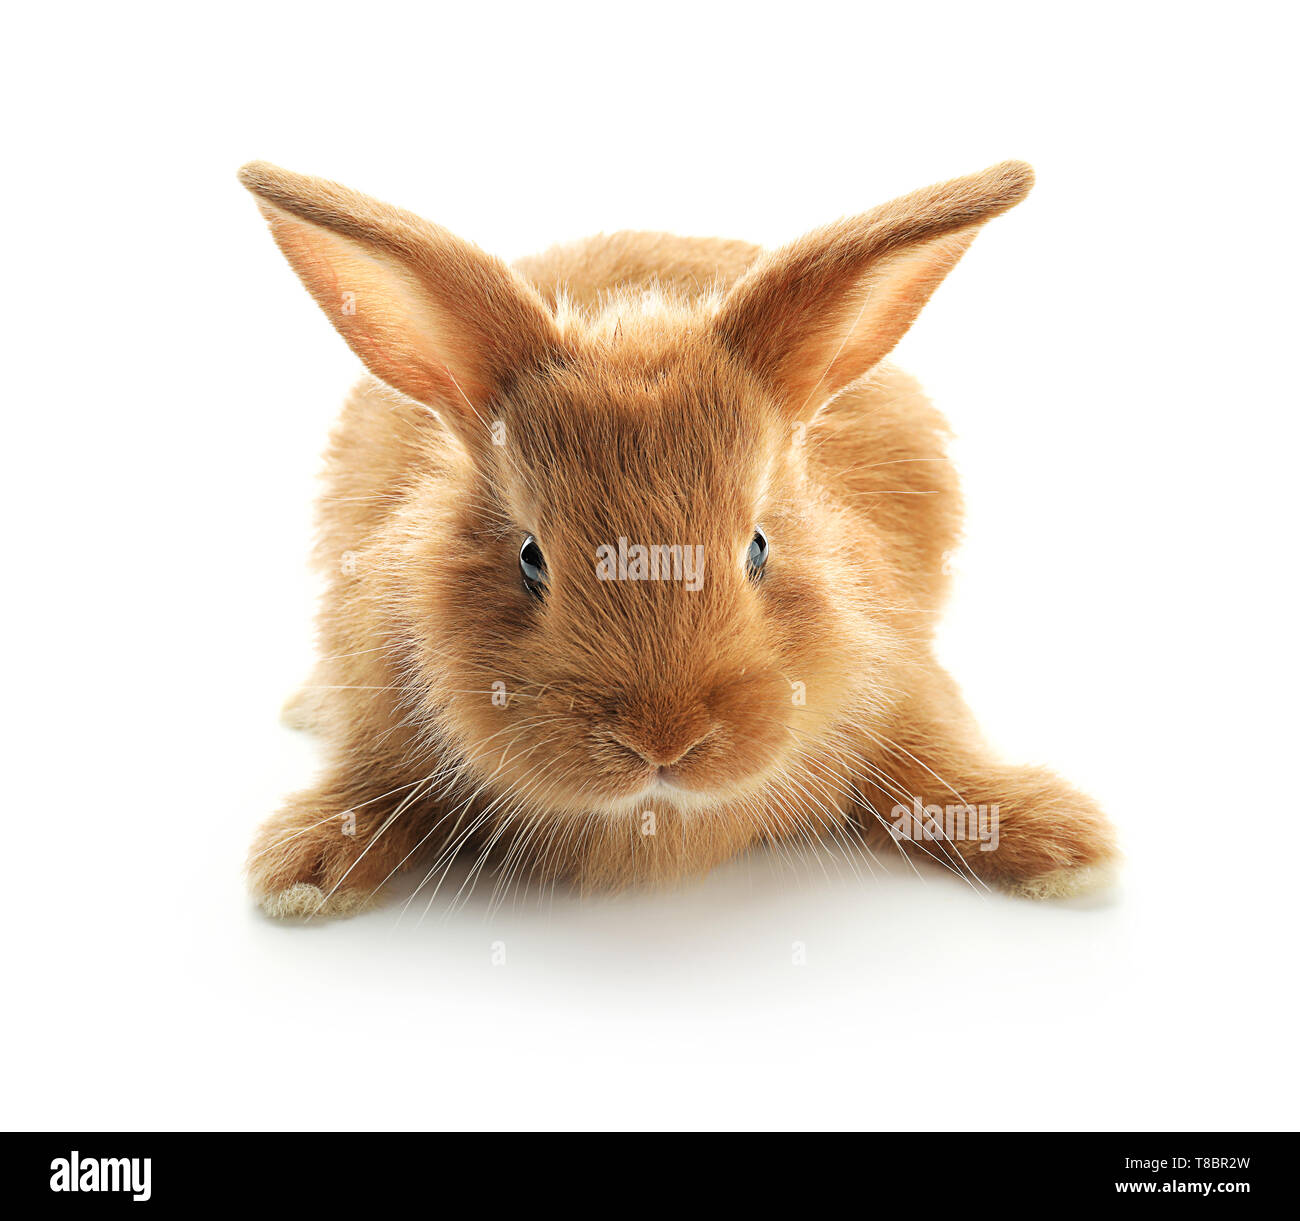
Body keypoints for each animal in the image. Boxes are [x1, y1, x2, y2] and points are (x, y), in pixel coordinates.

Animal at [239, 158, 1118, 918]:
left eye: (759, 547)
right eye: (530, 558)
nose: (663, 741)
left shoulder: (904, 683)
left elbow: (942, 765)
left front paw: (1066, 845)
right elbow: (368, 785)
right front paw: (303, 869)